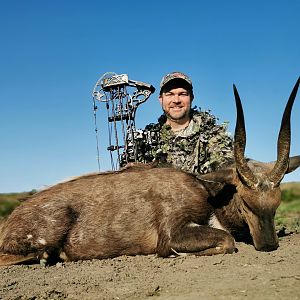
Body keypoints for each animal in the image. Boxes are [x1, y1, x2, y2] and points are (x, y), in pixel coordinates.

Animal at [0, 77, 298, 264]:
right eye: (245, 201)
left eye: (276, 203)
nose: (269, 245)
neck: (208, 191)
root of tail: (12, 219)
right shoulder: (173, 232)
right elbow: (226, 241)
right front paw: (175, 254)